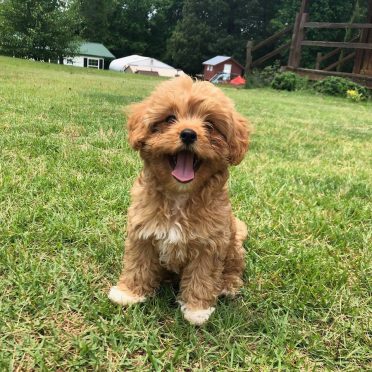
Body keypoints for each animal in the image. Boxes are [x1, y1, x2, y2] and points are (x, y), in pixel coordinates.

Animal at [109, 76, 251, 326]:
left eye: (209, 125)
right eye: (169, 118)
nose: (188, 134)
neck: (180, 195)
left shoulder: (210, 244)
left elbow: (202, 277)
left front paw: (197, 310)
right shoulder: (141, 233)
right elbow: (137, 264)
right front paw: (129, 293)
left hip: (233, 243)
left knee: (234, 267)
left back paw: (228, 285)